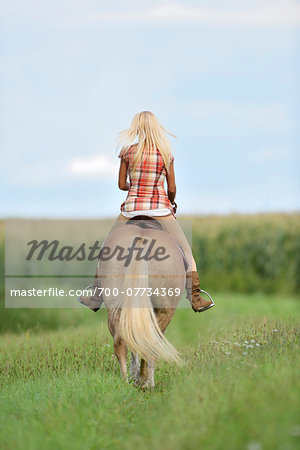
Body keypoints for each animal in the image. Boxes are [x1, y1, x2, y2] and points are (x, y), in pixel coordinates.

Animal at [97, 216, 186, 388]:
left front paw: (135, 374)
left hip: (114, 304)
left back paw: (126, 380)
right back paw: (145, 381)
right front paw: (145, 378)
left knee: (121, 340)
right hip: (165, 309)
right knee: (149, 344)